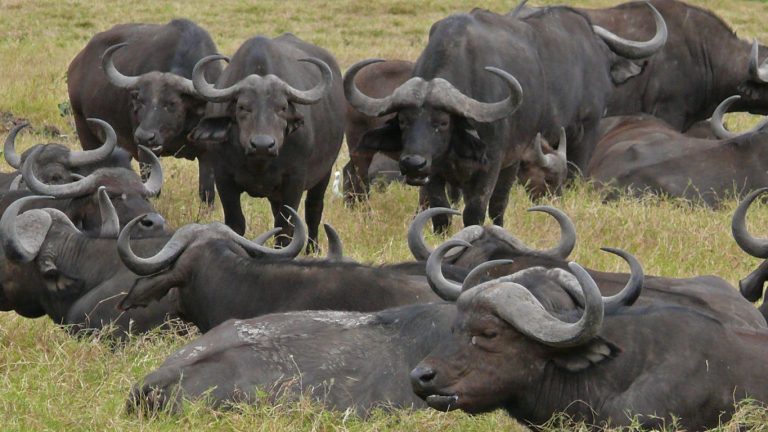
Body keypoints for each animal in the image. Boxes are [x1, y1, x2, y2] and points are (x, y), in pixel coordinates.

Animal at [67, 18, 222, 204]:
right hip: (85, 131)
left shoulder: (207, 155)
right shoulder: (145, 154)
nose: (144, 136)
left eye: (171, 103)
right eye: (140, 101)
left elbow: (207, 195)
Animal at [189, 34, 345, 250]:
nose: (262, 145)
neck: (259, 163)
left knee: (314, 209)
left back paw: (312, 248)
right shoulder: (223, 178)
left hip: (324, 173)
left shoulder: (294, 180)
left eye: (282, 107)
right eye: (243, 107)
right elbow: (236, 223)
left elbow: (285, 227)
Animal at [345, 6, 666, 232]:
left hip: (512, 159)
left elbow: (475, 209)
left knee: (499, 204)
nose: (413, 163)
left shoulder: (493, 163)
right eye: (403, 121)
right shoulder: (434, 171)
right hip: (360, 147)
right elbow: (439, 208)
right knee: (355, 177)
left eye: (443, 123)